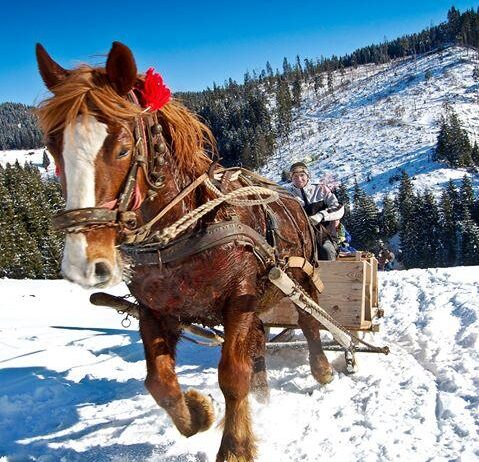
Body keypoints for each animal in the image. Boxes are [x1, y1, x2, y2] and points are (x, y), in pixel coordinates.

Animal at [35, 41, 334, 460]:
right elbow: (158, 382)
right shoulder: (155, 309)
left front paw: (235, 446)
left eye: (123, 149)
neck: (183, 233)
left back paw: (322, 369)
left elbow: (232, 374)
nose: (83, 263)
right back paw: (262, 395)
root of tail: (292, 198)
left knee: (309, 321)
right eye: (52, 147)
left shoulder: (239, 298)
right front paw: (199, 413)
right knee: (259, 340)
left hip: (298, 277)